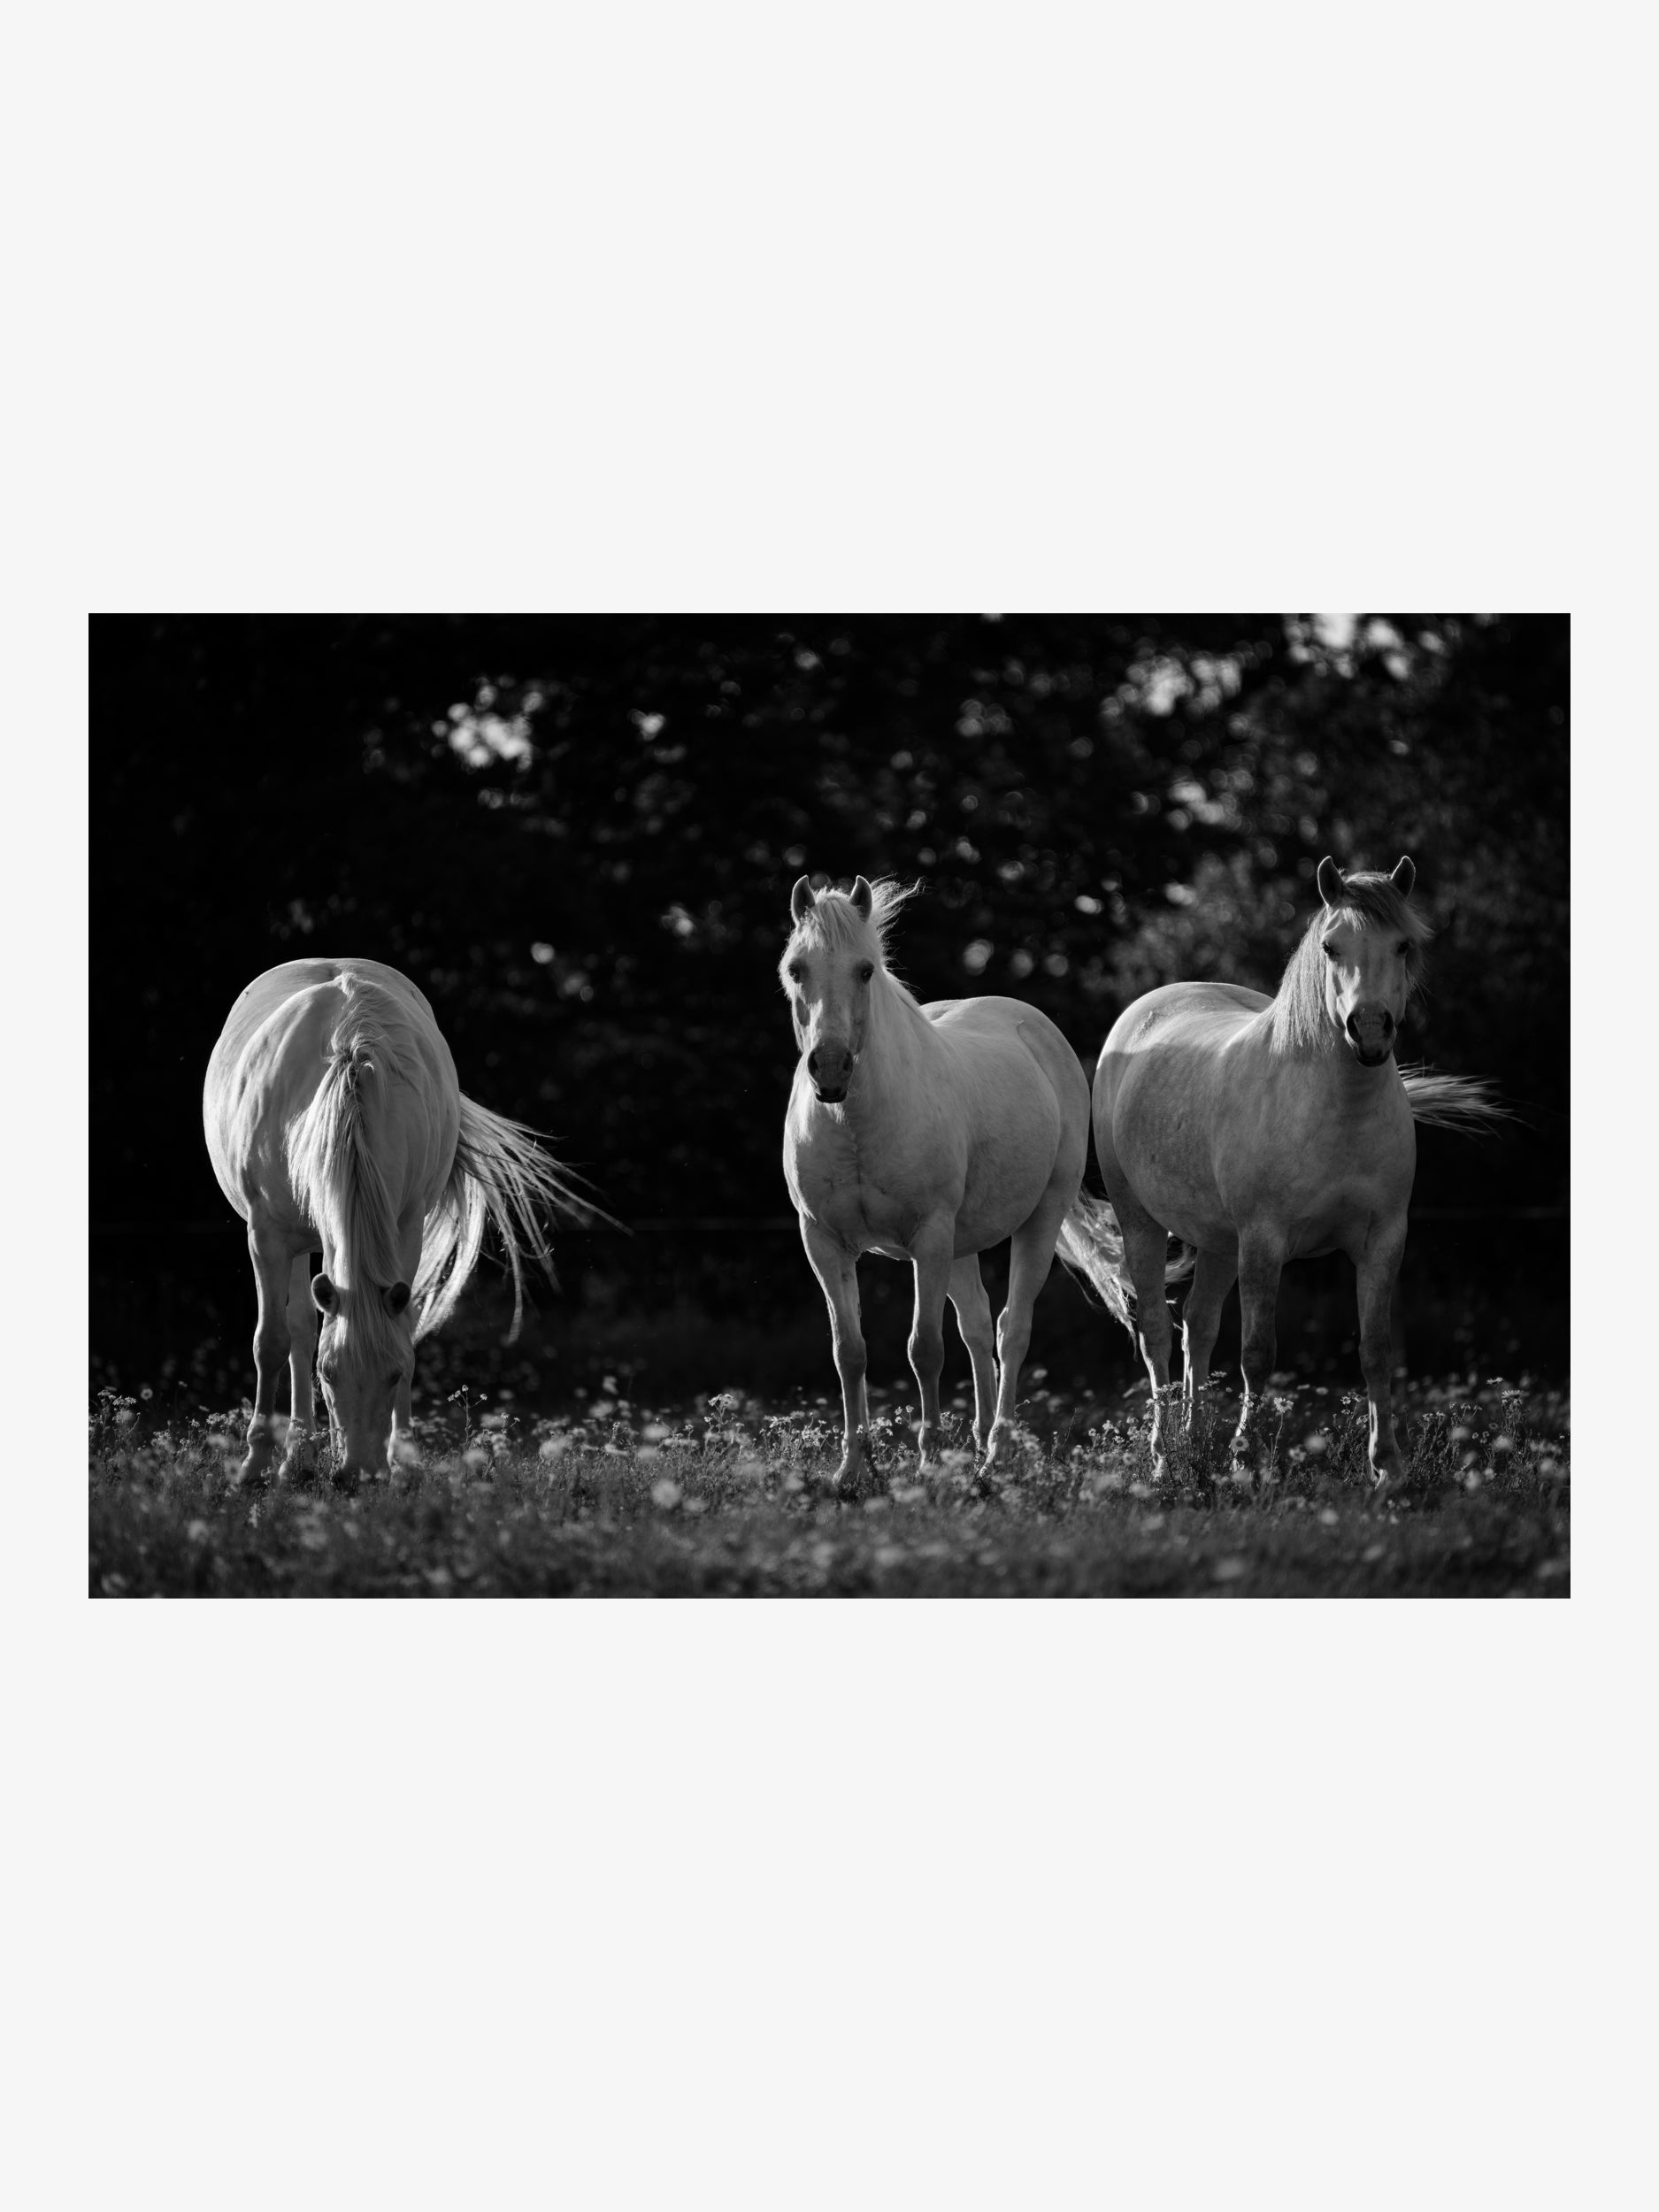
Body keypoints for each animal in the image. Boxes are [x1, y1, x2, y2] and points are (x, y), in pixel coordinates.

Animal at [204, 957, 590, 1481]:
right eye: (328, 1374)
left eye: (391, 1375)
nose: (357, 1475)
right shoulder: (265, 1235)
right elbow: (271, 1341)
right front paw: (252, 1464)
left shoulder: (406, 1229)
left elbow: (402, 1331)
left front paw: (404, 1465)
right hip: (294, 1240)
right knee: (299, 1331)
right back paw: (295, 1457)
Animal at [780, 874, 1105, 1491]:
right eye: (796, 969)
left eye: (866, 970)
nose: (830, 1069)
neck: (855, 1123)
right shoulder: (822, 1242)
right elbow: (849, 1351)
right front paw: (851, 1470)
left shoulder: (927, 1237)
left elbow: (924, 1350)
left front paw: (928, 1463)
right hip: (959, 1247)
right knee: (977, 1328)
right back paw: (977, 1453)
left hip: (1035, 1221)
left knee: (1011, 1329)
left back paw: (997, 1455)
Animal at [1057, 856, 1505, 1489]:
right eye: (1331, 946)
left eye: (1402, 945)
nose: (1370, 1030)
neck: (1337, 1108)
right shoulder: (1264, 1242)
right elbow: (1258, 1353)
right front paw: (1246, 1460)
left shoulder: (1383, 1241)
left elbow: (1375, 1349)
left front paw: (1387, 1468)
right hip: (1144, 1223)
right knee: (1158, 1337)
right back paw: (1165, 1458)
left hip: (1219, 1242)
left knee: (1198, 1327)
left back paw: (1195, 1448)